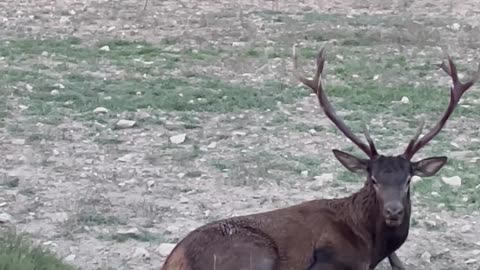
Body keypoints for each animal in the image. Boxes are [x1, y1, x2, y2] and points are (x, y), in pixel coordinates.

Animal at [162, 44, 480, 270]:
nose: (393, 211)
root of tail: (175, 260)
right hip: (253, 255)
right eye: (373, 180)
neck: (372, 247)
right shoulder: (330, 261)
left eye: (408, 180)